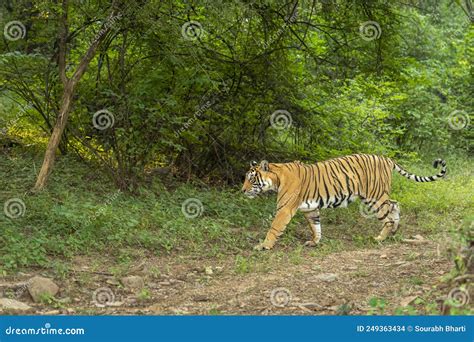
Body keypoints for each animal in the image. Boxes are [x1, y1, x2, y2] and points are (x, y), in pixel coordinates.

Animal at [243, 154, 446, 250]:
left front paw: (264, 246)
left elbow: (274, 228)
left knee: (388, 214)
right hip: (377, 195)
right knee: (395, 204)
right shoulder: (310, 209)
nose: (242, 190)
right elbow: (316, 226)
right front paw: (315, 242)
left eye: (252, 179)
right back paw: (394, 230)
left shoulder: (284, 209)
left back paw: (380, 237)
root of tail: (386, 158)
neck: (277, 178)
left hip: (374, 197)